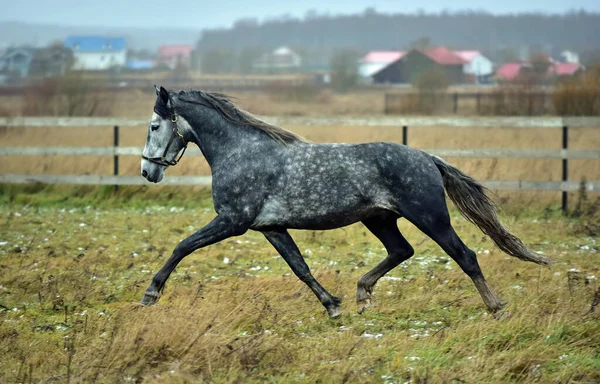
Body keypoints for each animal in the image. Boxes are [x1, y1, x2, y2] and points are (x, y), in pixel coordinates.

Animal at [139, 87, 548, 318]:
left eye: (154, 126)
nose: (147, 170)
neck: (241, 153)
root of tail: (427, 158)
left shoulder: (231, 221)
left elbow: (182, 246)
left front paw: (150, 294)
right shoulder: (270, 227)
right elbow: (300, 268)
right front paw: (333, 306)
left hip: (430, 217)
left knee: (465, 256)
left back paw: (496, 307)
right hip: (379, 218)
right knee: (402, 250)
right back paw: (362, 295)